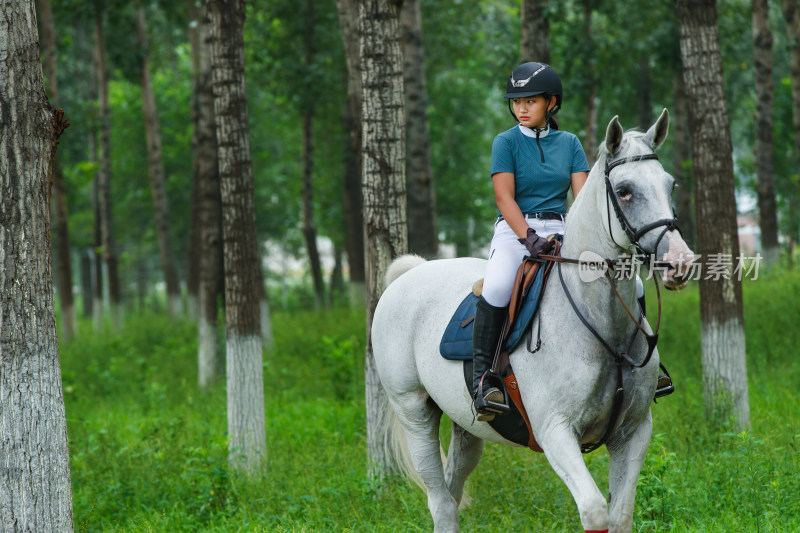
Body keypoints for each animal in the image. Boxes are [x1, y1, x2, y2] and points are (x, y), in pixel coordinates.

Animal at [372, 109, 696, 532]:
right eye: (625, 190)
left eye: (670, 185)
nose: (680, 263)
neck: (601, 326)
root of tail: (410, 273)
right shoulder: (555, 431)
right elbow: (595, 510)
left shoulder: (634, 432)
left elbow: (621, 514)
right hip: (413, 410)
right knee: (440, 501)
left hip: (466, 424)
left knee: (452, 492)